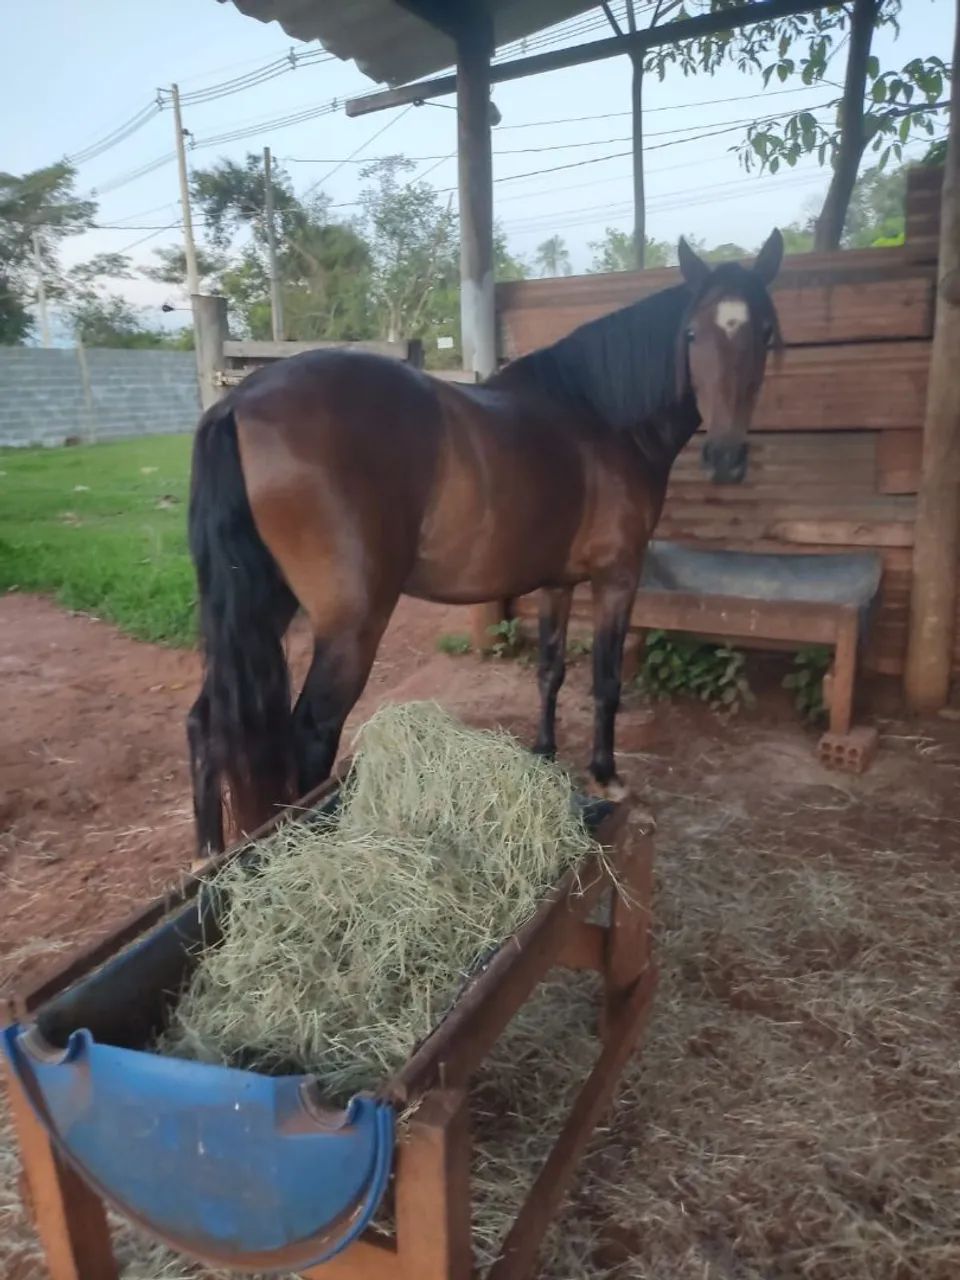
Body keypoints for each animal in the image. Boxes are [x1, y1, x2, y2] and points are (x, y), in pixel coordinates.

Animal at [187, 230, 784, 853]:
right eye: (692, 333)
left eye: (766, 332)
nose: (726, 459)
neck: (600, 418)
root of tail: (238, 401)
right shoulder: (618, 575)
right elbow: (606, 678)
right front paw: (606, 773)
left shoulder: (559, 582)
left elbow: (550, 670)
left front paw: (544, 755)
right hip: (349, 624)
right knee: (310, 731)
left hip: (265, 606)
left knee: (207, 725)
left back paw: (209, 858)